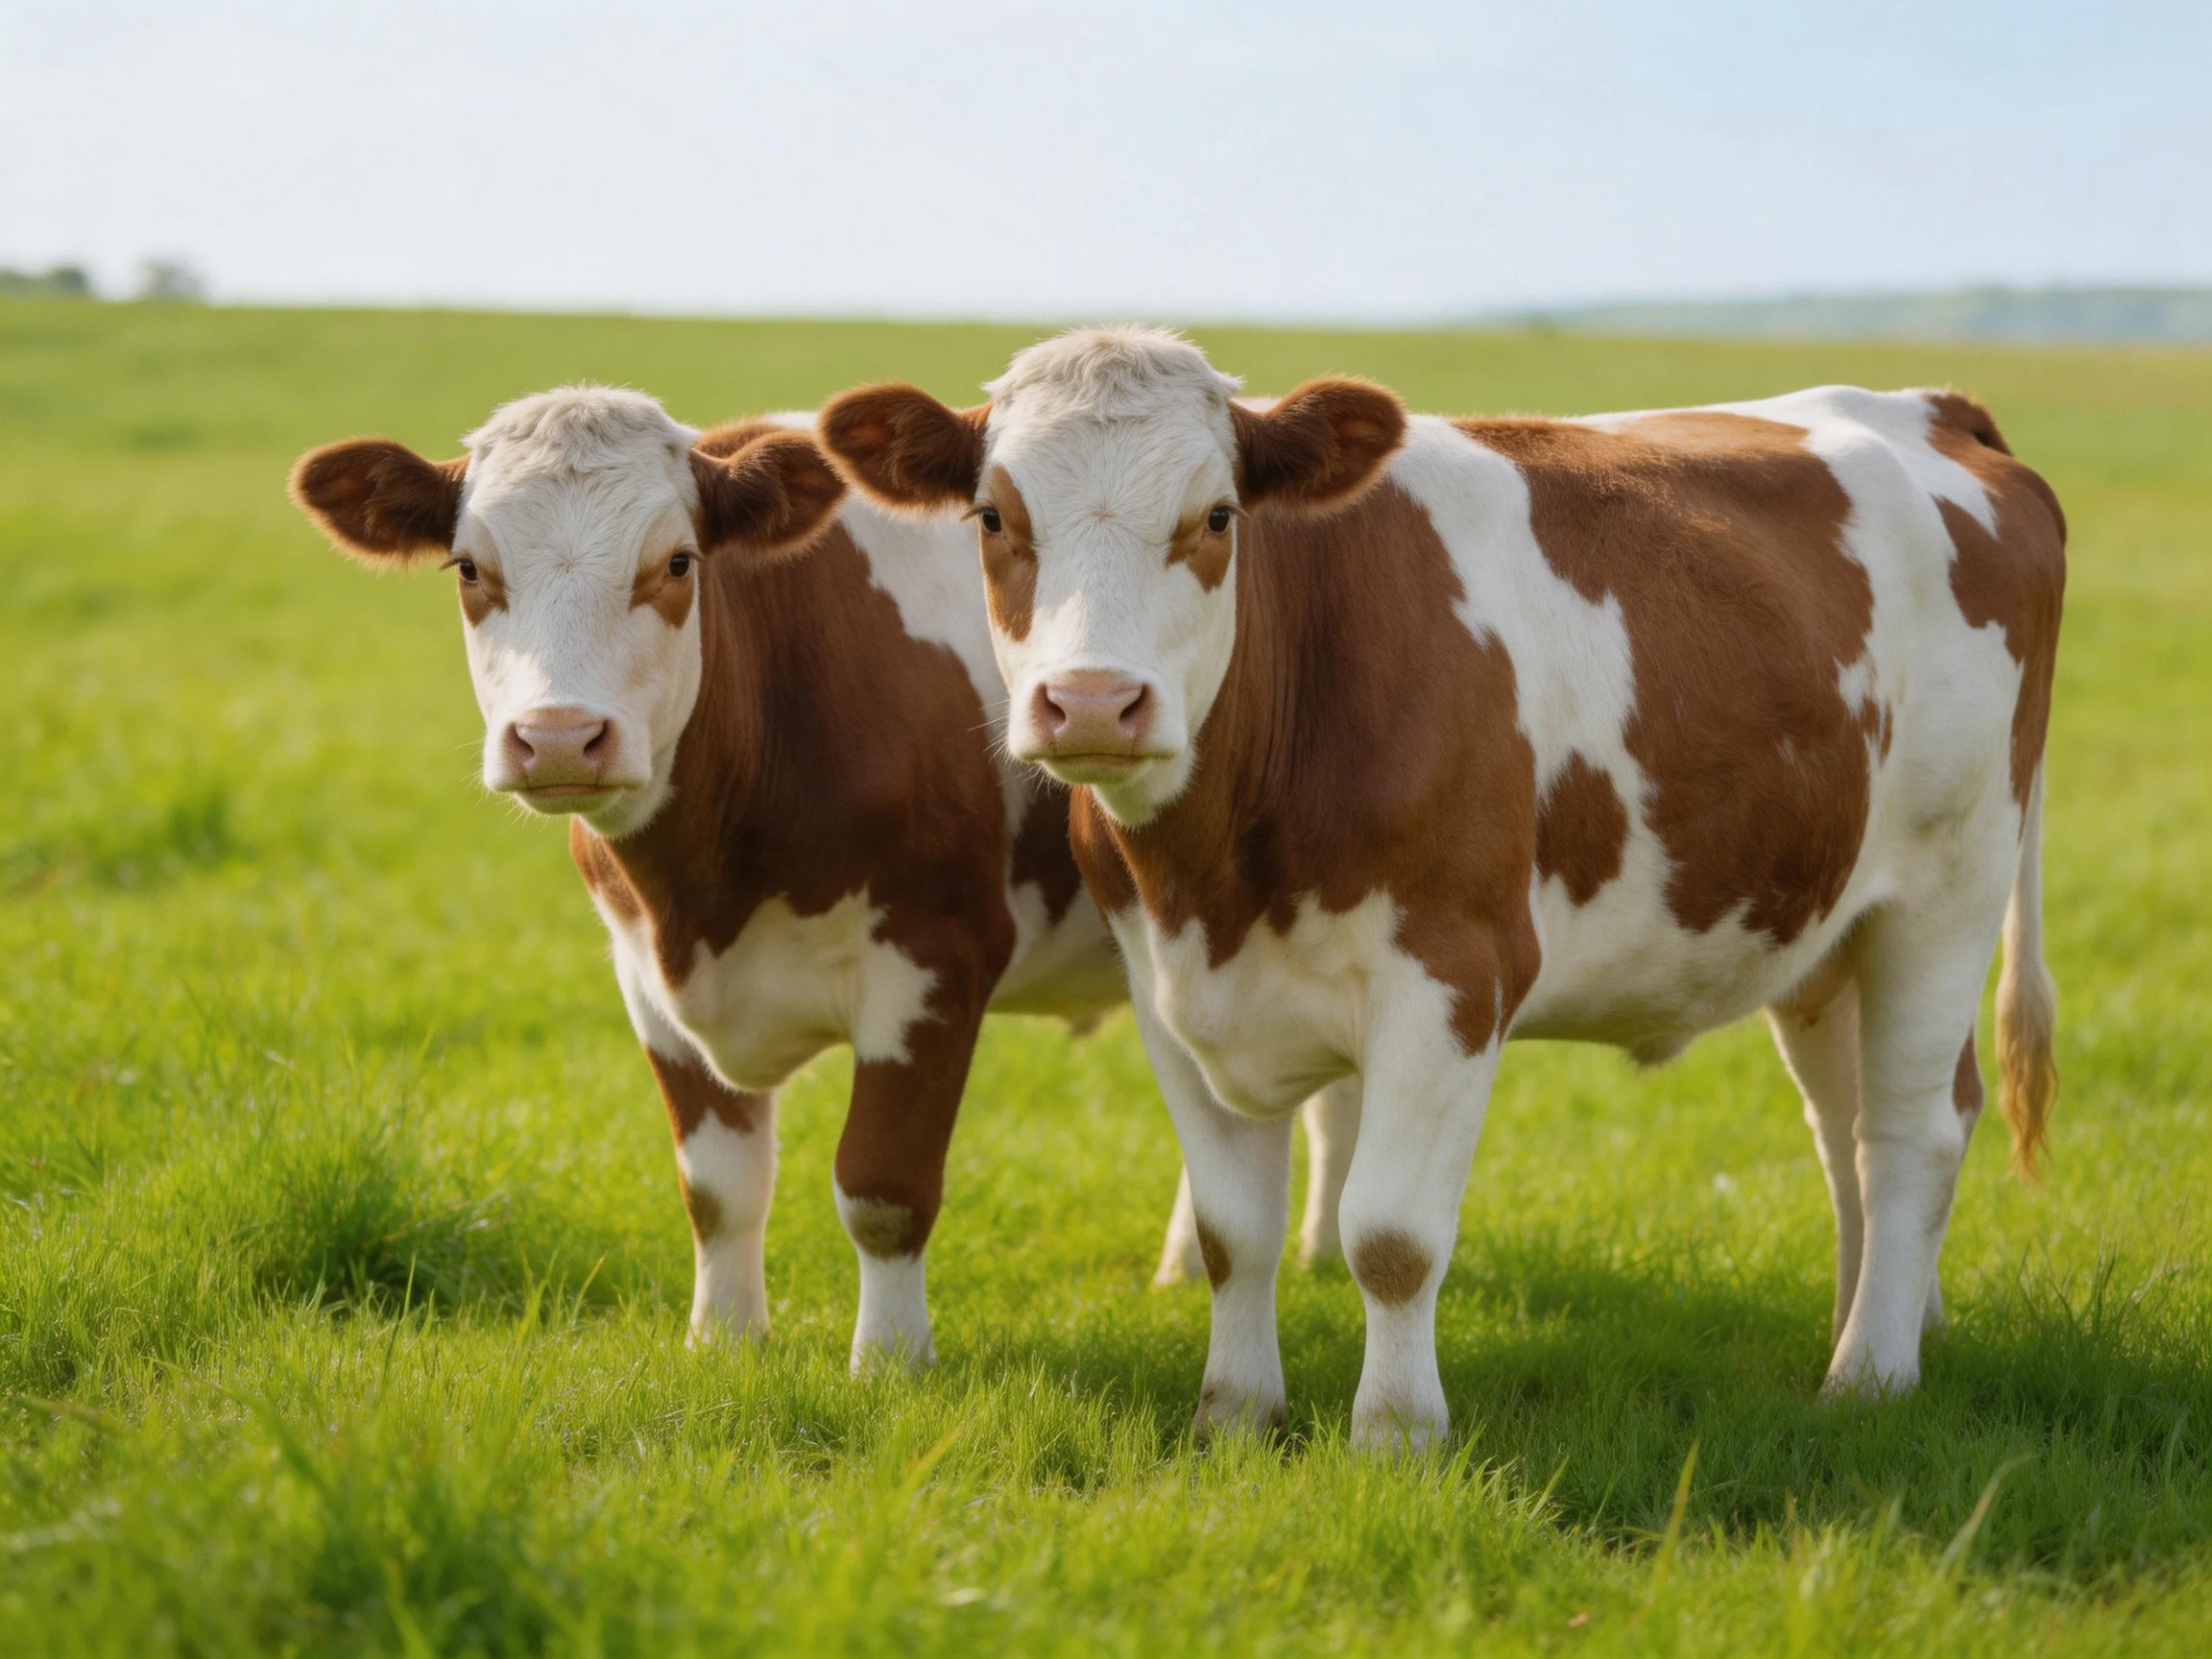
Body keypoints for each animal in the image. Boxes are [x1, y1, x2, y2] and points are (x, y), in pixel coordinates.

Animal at [287, 386, 1354, 1369]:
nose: (558, 736)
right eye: (471, 568)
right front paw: (723, 1342)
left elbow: (882, 1185)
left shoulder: (935, 959)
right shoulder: (643, 977)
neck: (703, 891)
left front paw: (889, 1364)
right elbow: (718, 1189)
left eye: (677, 562)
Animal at [819, 328, 2066, 1446]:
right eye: (994, 518)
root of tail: (1928, 406)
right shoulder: (1166, 988)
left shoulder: (1455, 973)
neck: (1223, 873)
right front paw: (1236, 1415)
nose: (1090, 702)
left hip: (1947, 887)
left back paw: (1869, 1376)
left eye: (1217, 516)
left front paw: (1397, 1433)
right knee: (1849, 1123)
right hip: (1824, 925)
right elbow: (1233, 1231)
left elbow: (1391, 1235)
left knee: (1910, 1130)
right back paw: (1889, 1324)